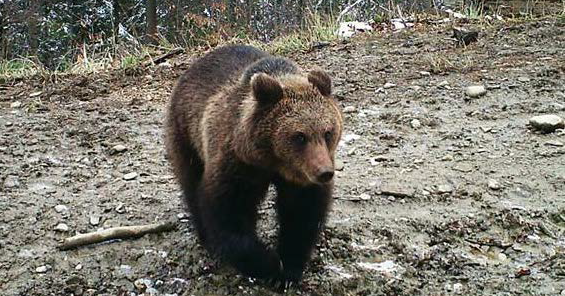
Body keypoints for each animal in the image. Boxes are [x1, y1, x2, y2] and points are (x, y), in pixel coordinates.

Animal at [165, 45, 342, 286]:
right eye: (299, 136)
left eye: (328, 132)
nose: (324, 172)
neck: (272, 162)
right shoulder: (236, 164)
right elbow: (228, 211)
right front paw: (268, 263)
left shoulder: (301, 178)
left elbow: (301, 213)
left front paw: (288, 268)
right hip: (185, 135)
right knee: (191, 183)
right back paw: (205, 237)